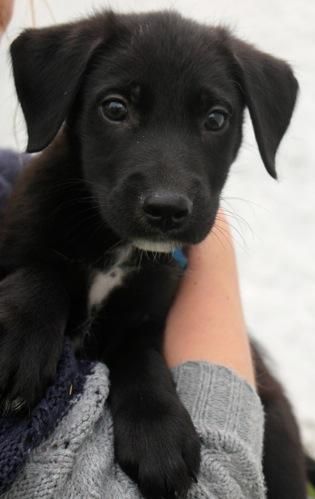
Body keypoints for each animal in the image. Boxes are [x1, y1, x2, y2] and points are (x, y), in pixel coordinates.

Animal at [0, 8, 308, 499]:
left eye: (216, 118)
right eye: (114, 108)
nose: (166, 209)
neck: (116, 250)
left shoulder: (148, 316)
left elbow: (143, 358)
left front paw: (159, 435)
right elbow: (39, 271)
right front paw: (22, 345)